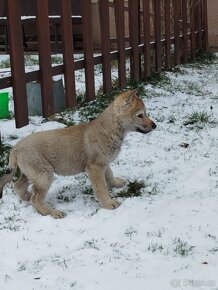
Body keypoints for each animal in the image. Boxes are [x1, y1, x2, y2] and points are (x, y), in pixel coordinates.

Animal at [0, 89, 157, 219]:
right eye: (140, 115)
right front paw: (108, 204)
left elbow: (109, 175)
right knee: (36, 198)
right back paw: (52, 213)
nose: (155, 126)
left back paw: (27, 197)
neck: (109, 129)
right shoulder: (95, 167)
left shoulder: (103, 164)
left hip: (32, 174)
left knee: (18, 186)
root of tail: (15, 148)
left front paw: (116, 184)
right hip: (44, 174)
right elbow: (101, 188)